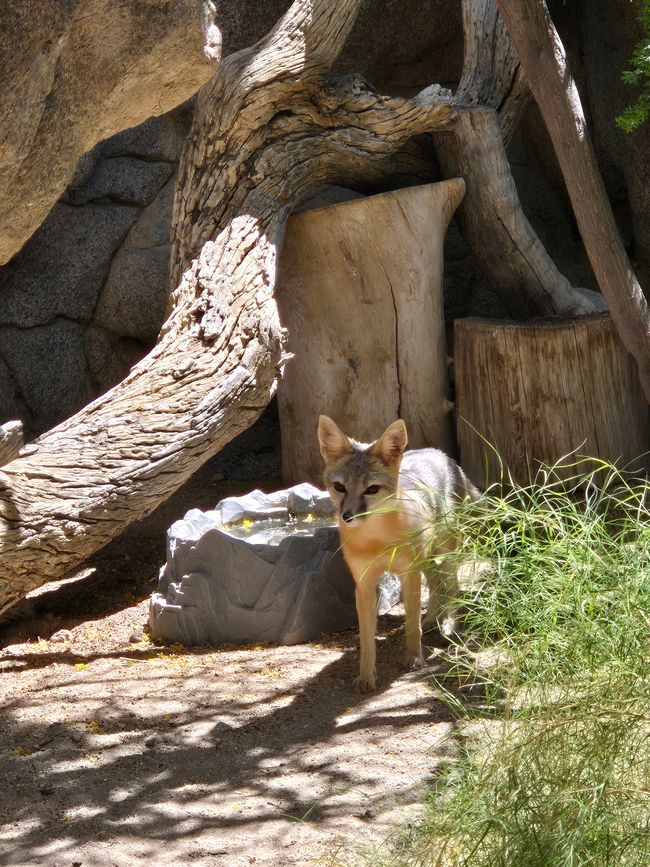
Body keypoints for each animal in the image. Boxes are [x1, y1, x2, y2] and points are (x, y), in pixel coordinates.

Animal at [318, 415, 480, 692]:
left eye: (372, 489)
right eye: (339, 487)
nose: (348, 516)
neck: (377, 540)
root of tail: (440, 453)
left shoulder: (409, 575)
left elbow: (411, 623)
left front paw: (414, 659)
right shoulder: (364, 584)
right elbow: (366, 639)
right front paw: (365, 676)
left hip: (444, 553)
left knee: (451, 586)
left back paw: (449, 624)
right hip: (428, 559)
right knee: (437, 585)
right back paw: (433, 620)